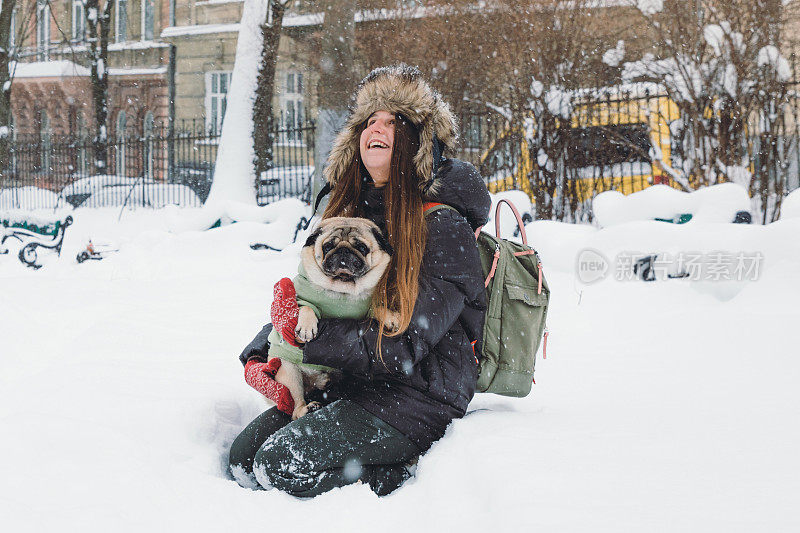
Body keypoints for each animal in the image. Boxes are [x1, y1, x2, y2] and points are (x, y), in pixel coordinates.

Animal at [268, 216, 396, 420]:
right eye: (328, 246)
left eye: (361, 247)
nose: (343, 250)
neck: (342, 290)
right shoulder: (298, 299)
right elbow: (306, 308)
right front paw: (306, 327)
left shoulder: (367, 306)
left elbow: (378, 307)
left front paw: (390, 317)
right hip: (289, 372)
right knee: (296, 408)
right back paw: (307, 408)